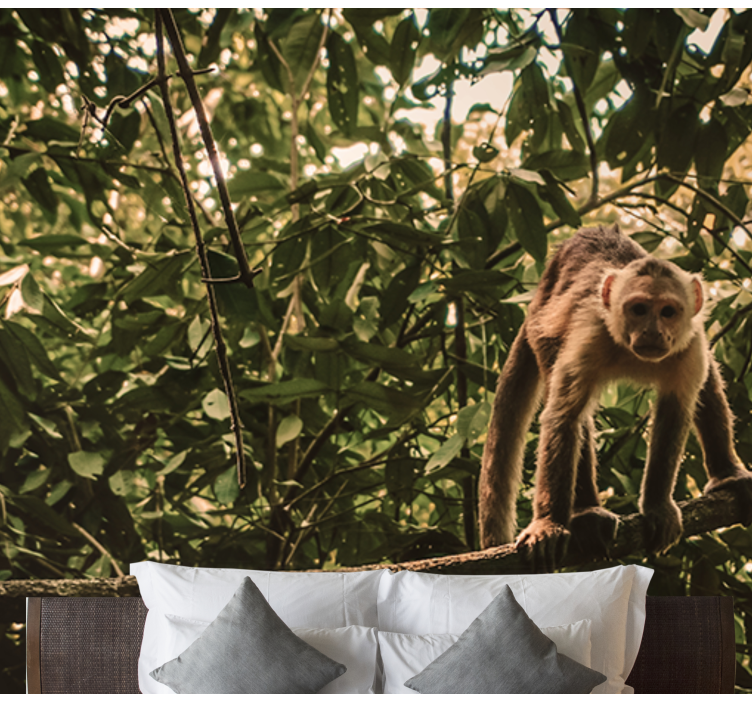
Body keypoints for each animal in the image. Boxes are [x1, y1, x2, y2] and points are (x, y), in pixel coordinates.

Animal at [478, 224, 752, 570]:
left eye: (667, 312)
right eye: (639, 309)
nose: (652, 332)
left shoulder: (688, 345)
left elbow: (677, 410)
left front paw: (658, 506)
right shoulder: (592, 334)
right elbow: (564, 416)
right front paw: (548, 524)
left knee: (708, 381)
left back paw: (728, 474)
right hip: (542, 330)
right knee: (571, 410)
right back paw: (586, 513)